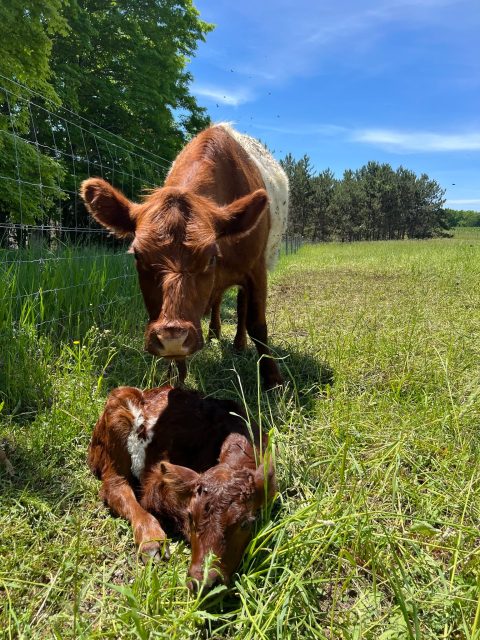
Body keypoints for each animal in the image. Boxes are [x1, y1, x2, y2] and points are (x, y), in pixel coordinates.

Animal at [80, 123, 288, 389]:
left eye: (211, 257)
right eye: (137, 255)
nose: (172, 338)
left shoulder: (256, 268)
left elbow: (257, 323)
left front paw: (273, 379)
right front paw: (173, 380)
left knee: (241, 307)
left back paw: (239, 344)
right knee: (217, 300)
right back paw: (213, 334)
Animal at [88, 385, 275, 590]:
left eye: (246, 523)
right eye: (191, 516)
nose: (203, 582)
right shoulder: (156, 482)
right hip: (116, 415)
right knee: (115, 486)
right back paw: (151, 542)